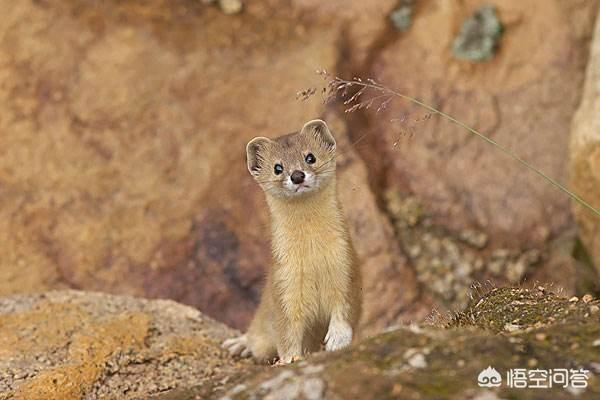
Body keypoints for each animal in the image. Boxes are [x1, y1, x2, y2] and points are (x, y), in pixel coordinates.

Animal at [224, 118, 360, 362]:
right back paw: (240, 344)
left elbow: (345, 310)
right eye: (277, 167)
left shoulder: (346, 266)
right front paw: (289, 360)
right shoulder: (284, 284)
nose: (297, 175)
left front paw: (337, 339)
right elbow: (287, 334)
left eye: (310, 157)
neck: (313, 256)